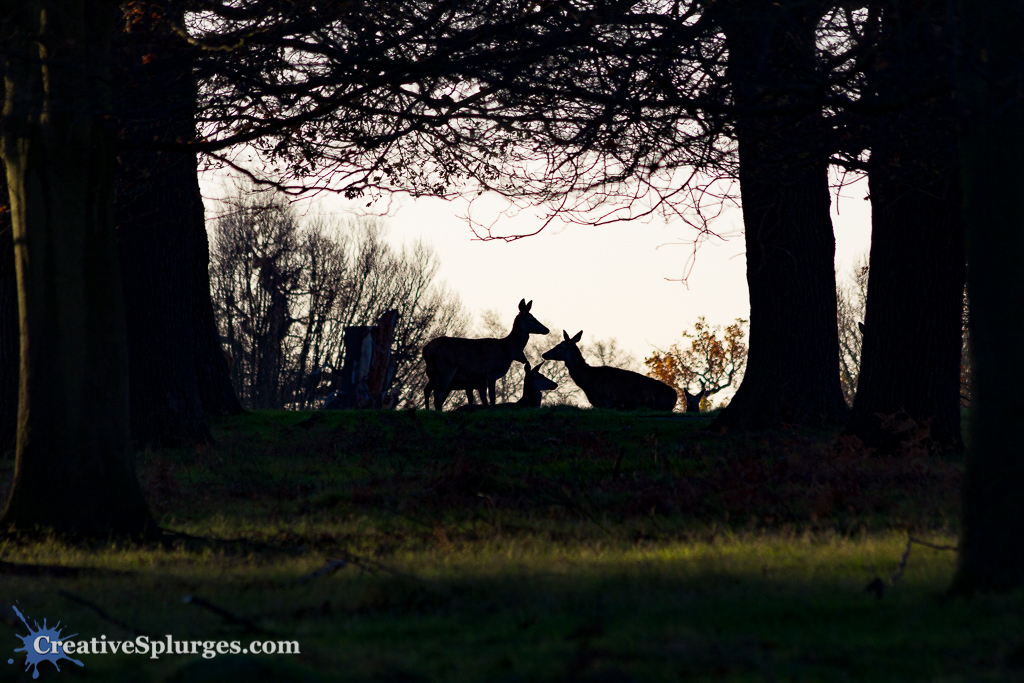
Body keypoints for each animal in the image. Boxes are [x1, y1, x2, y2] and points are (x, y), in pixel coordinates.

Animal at [543, 330, 677, 410]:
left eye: (561, 347)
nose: (544, 354)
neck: (588, 381)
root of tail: (674, 395)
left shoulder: (607, 399)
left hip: (660, 405)